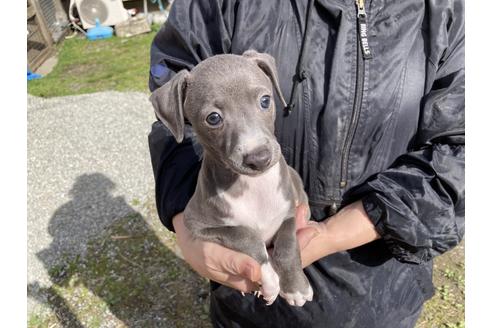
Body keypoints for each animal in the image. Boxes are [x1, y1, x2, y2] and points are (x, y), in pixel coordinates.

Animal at [148, 50, 314, 306]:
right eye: (213, 118)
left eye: (265, 101)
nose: (259, 158)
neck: (254, 186)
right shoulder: (197, 224)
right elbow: (245, 235)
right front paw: (268, 280)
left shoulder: (288, 212)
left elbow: (287, 246)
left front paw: (296, 287)